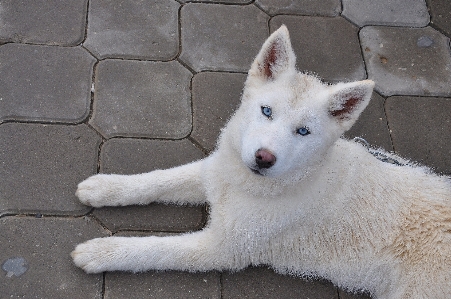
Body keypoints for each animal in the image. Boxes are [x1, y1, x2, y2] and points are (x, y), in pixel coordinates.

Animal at [73, 26, 451, 299]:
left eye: (303, 131)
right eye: (266, 111)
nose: (263, 158)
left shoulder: (223, 249)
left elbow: (154, 249)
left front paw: (103, 252)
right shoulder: (218, 171)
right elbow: (159, 179)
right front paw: (106, 187)